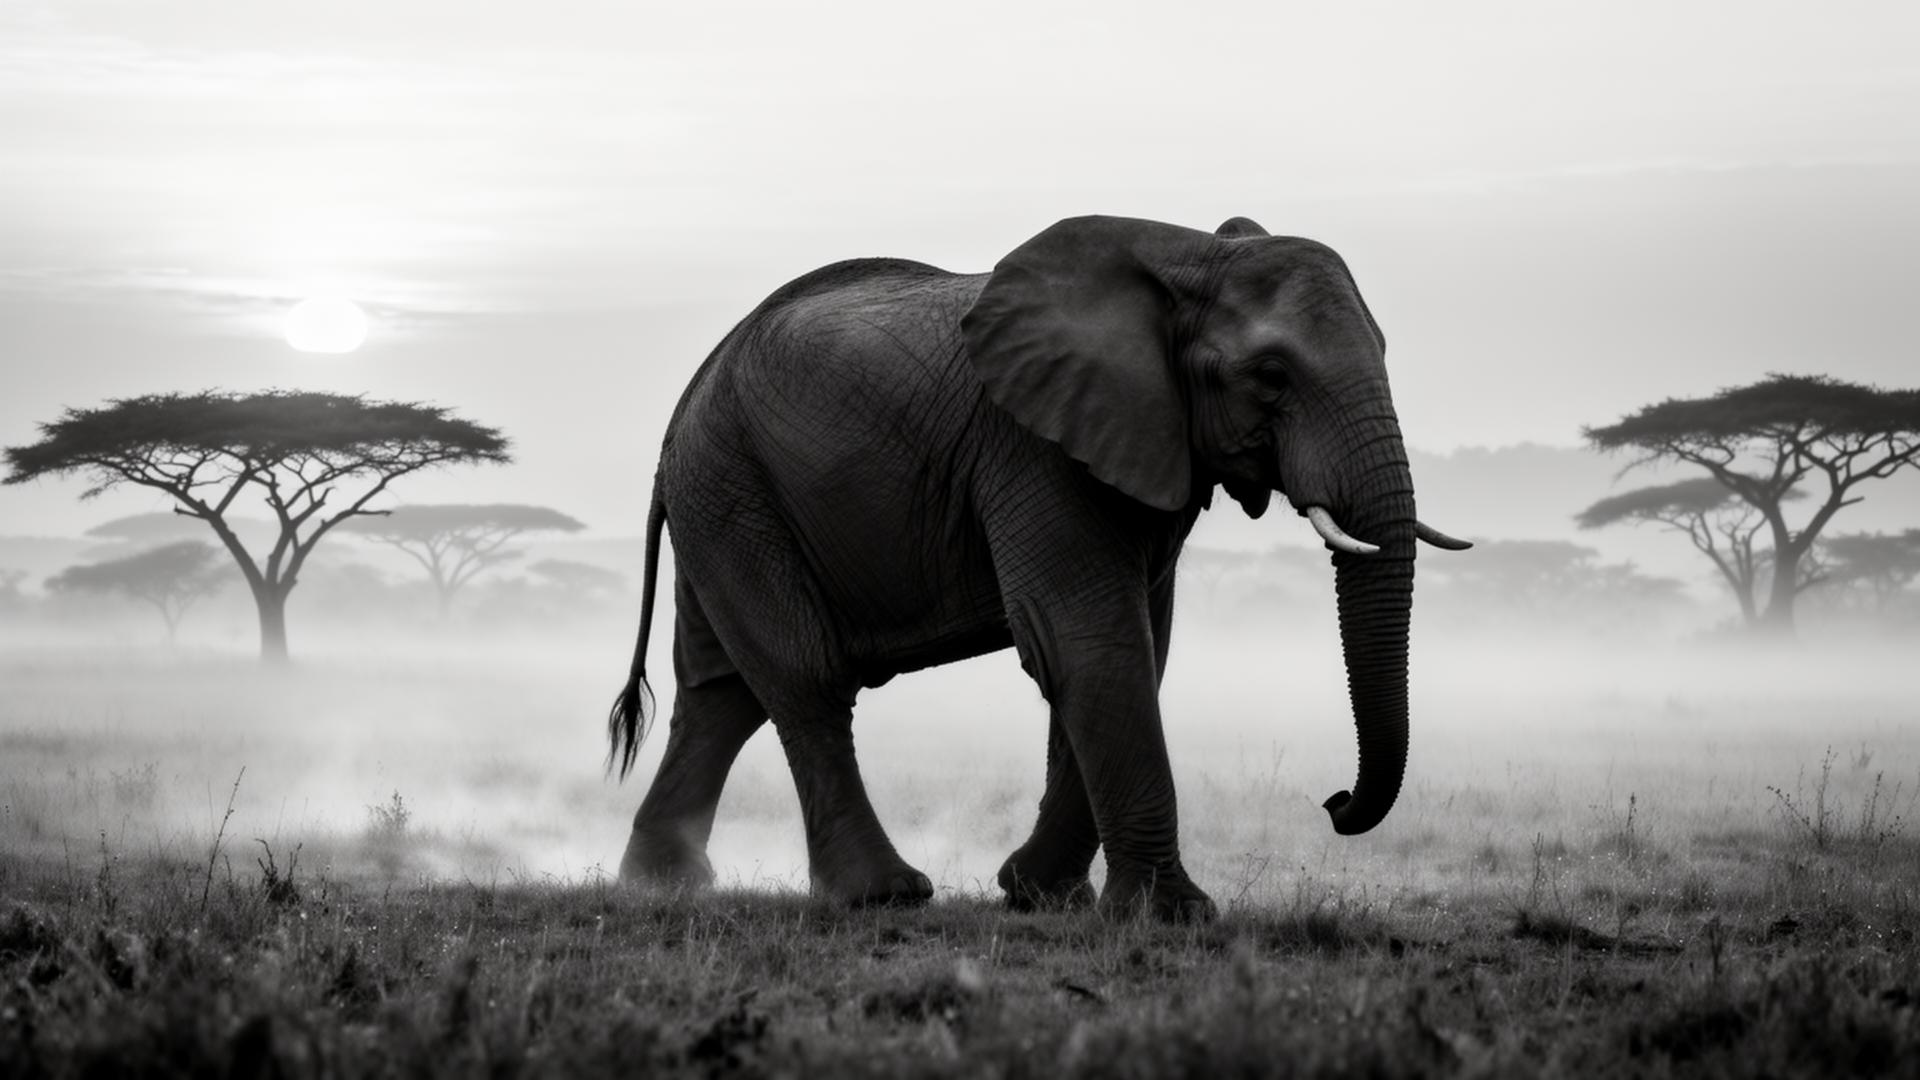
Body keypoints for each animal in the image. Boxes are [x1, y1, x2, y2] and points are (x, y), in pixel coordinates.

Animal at [607, 214, 1468, 923]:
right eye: (1270, 377)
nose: (1335, 801)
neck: (1190, 253)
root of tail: (682, 410)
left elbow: (1133, 648)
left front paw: (1040, 897)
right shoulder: (1034, 447)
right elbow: (1089, 643)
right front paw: (1171, 917)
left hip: (725, 498)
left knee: (721, 693)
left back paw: (662, 887)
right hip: (733, 489)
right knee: (806, 678)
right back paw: (882, 896)